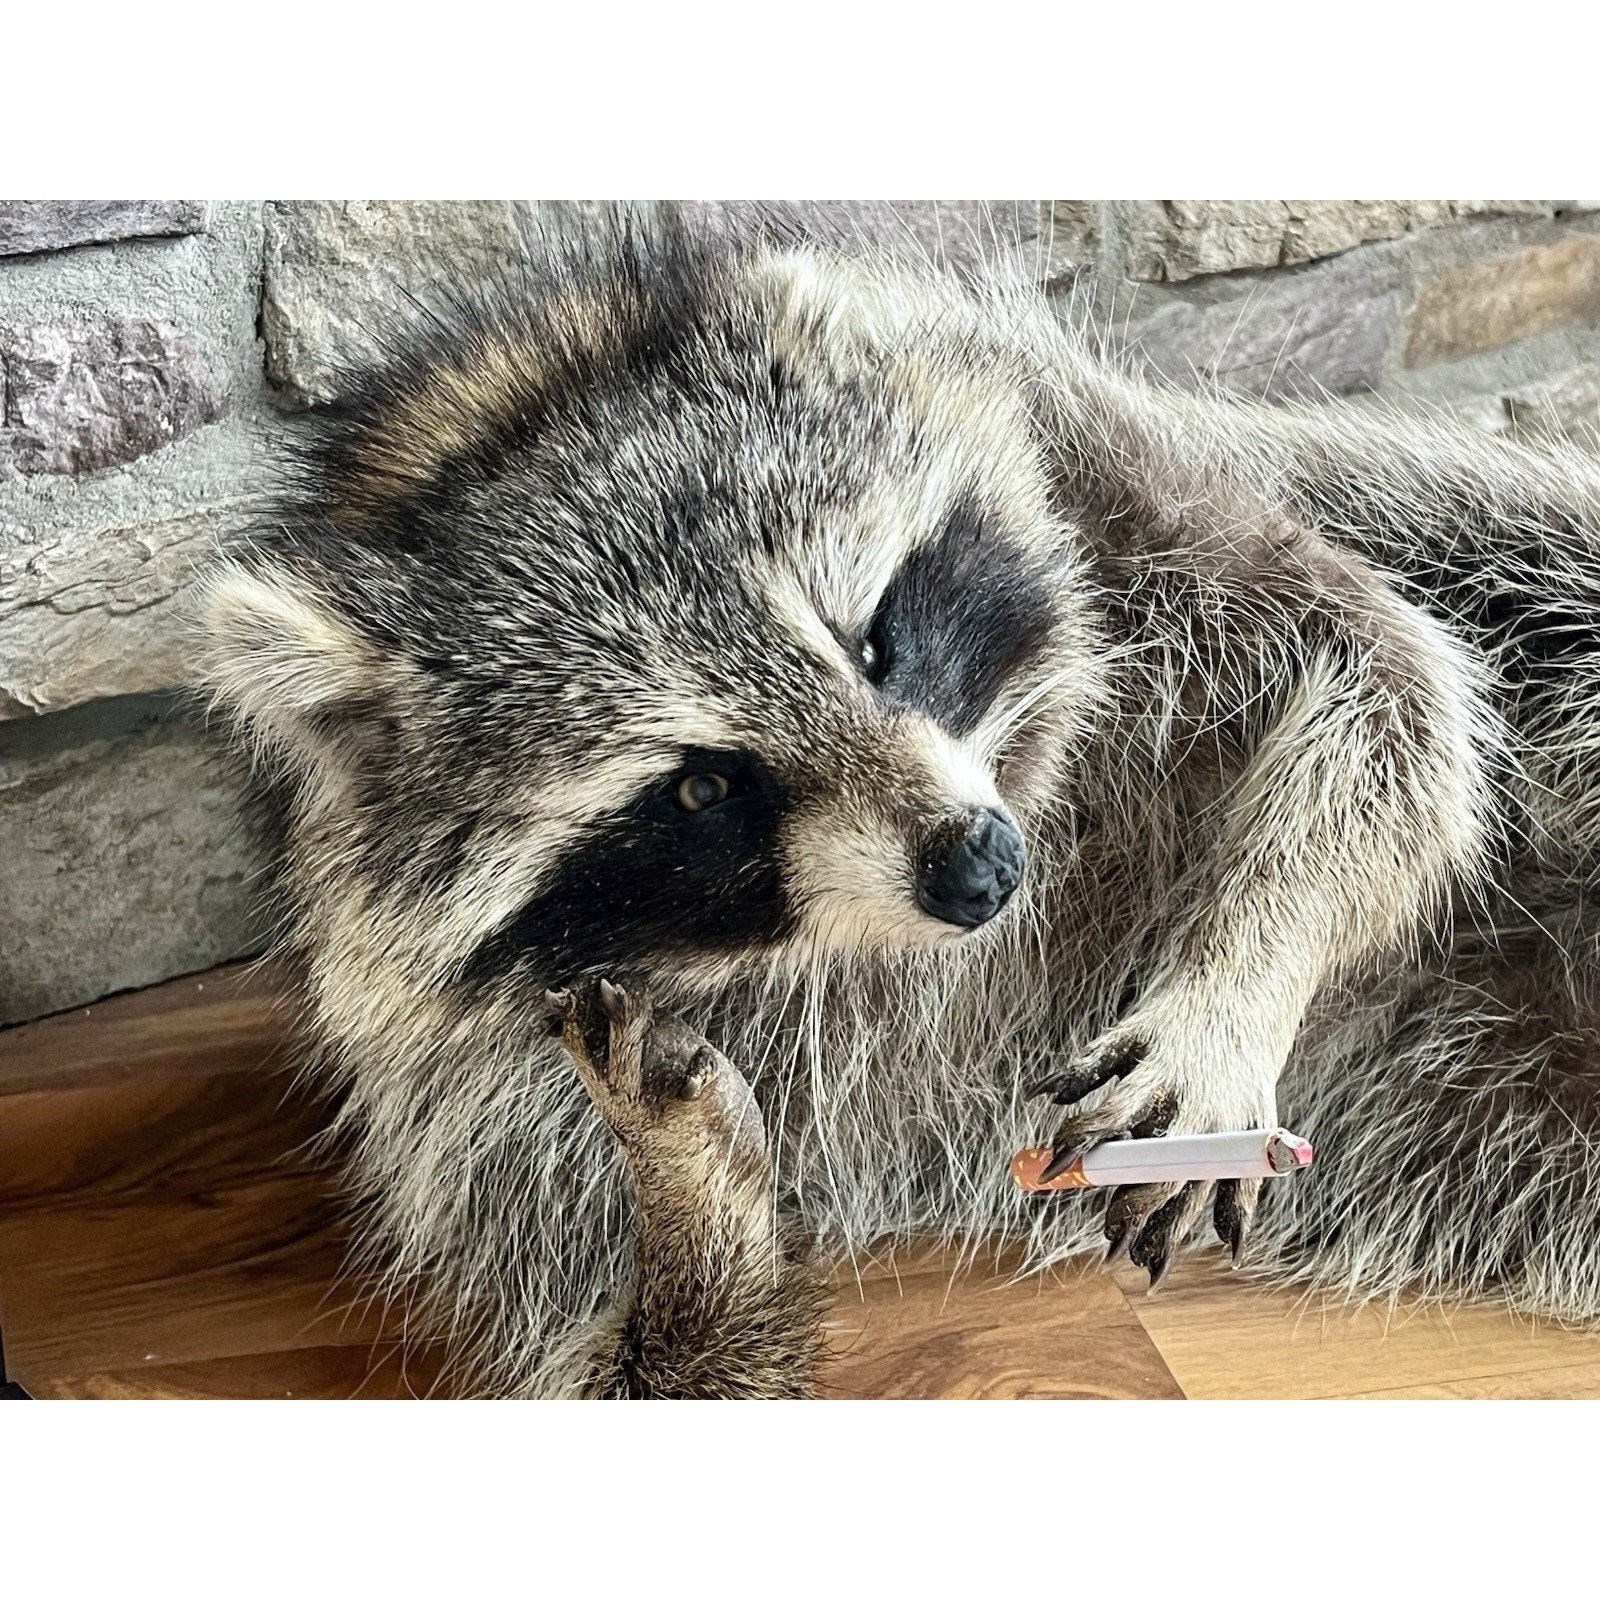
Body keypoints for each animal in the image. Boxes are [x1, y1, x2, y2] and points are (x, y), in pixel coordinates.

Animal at [199, 207, 1600, 1397]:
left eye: (875, 640)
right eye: (701, 787)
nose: (978, 867)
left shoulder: (1135, 496)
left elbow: (1387, 681)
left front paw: (1240, 977)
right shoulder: (485, 1101)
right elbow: (628, 1368)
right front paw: (697, 1203)